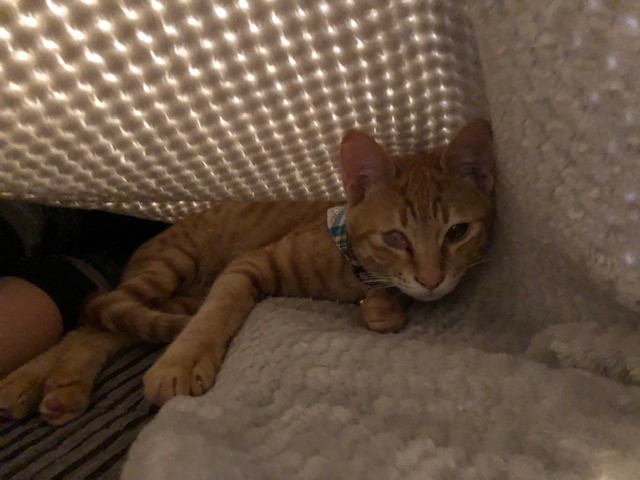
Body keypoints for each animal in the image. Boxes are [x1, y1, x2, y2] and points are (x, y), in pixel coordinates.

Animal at [0, 119, 495, 425]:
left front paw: (385, 306)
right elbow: (215, 317)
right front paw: (182, 361)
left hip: (174, 297)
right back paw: (30, 381)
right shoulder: (248, 265)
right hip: (168, 270)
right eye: (395, 238)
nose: (432, 279)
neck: (347, 267)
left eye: (457, 232)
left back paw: (61, 385)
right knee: (91, 320)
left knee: (101, 329)